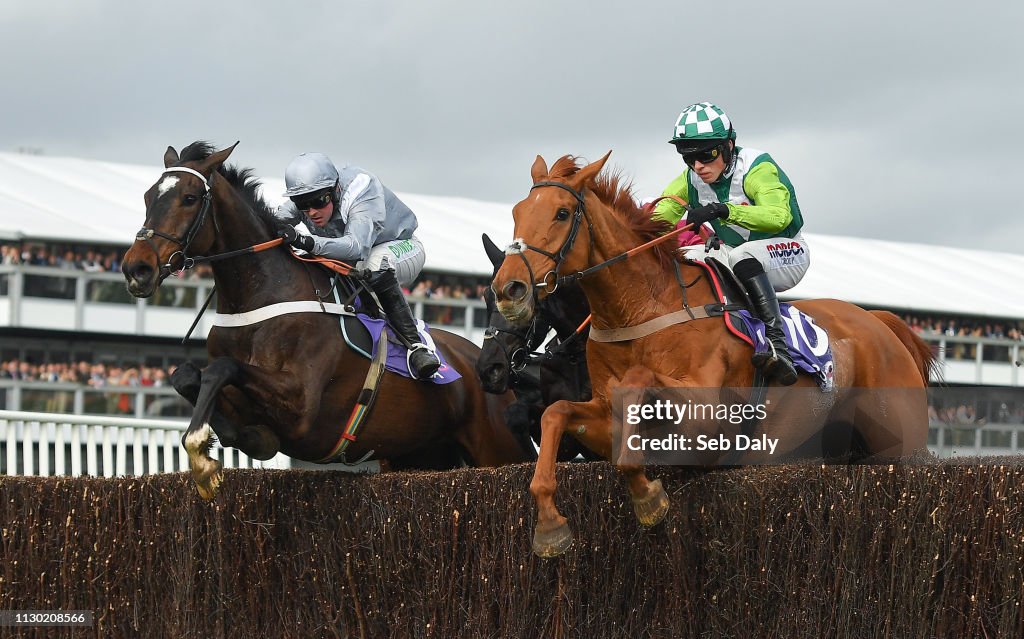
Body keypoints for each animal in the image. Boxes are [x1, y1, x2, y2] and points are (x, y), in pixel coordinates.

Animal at [120, 141, 536, 499]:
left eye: (189, 198)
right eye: (148, 197)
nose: (136, 268)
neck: (260, 298)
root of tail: (486, 366)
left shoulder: (301, 405)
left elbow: (221, 368)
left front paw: (202, 460)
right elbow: (189, 375)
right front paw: (225, 444)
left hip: (498, 447)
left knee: (379, 266)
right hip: (420, 455)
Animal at [493, 152, 937, 557]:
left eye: (562, 213)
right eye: (517, 212)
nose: (508, 289)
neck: (641, 309)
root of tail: (881, 323)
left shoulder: (707, 419)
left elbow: (638, 385)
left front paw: (648, 499)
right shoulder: (601, 416)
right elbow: (556, 414)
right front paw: (550, 527)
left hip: (900, 446)